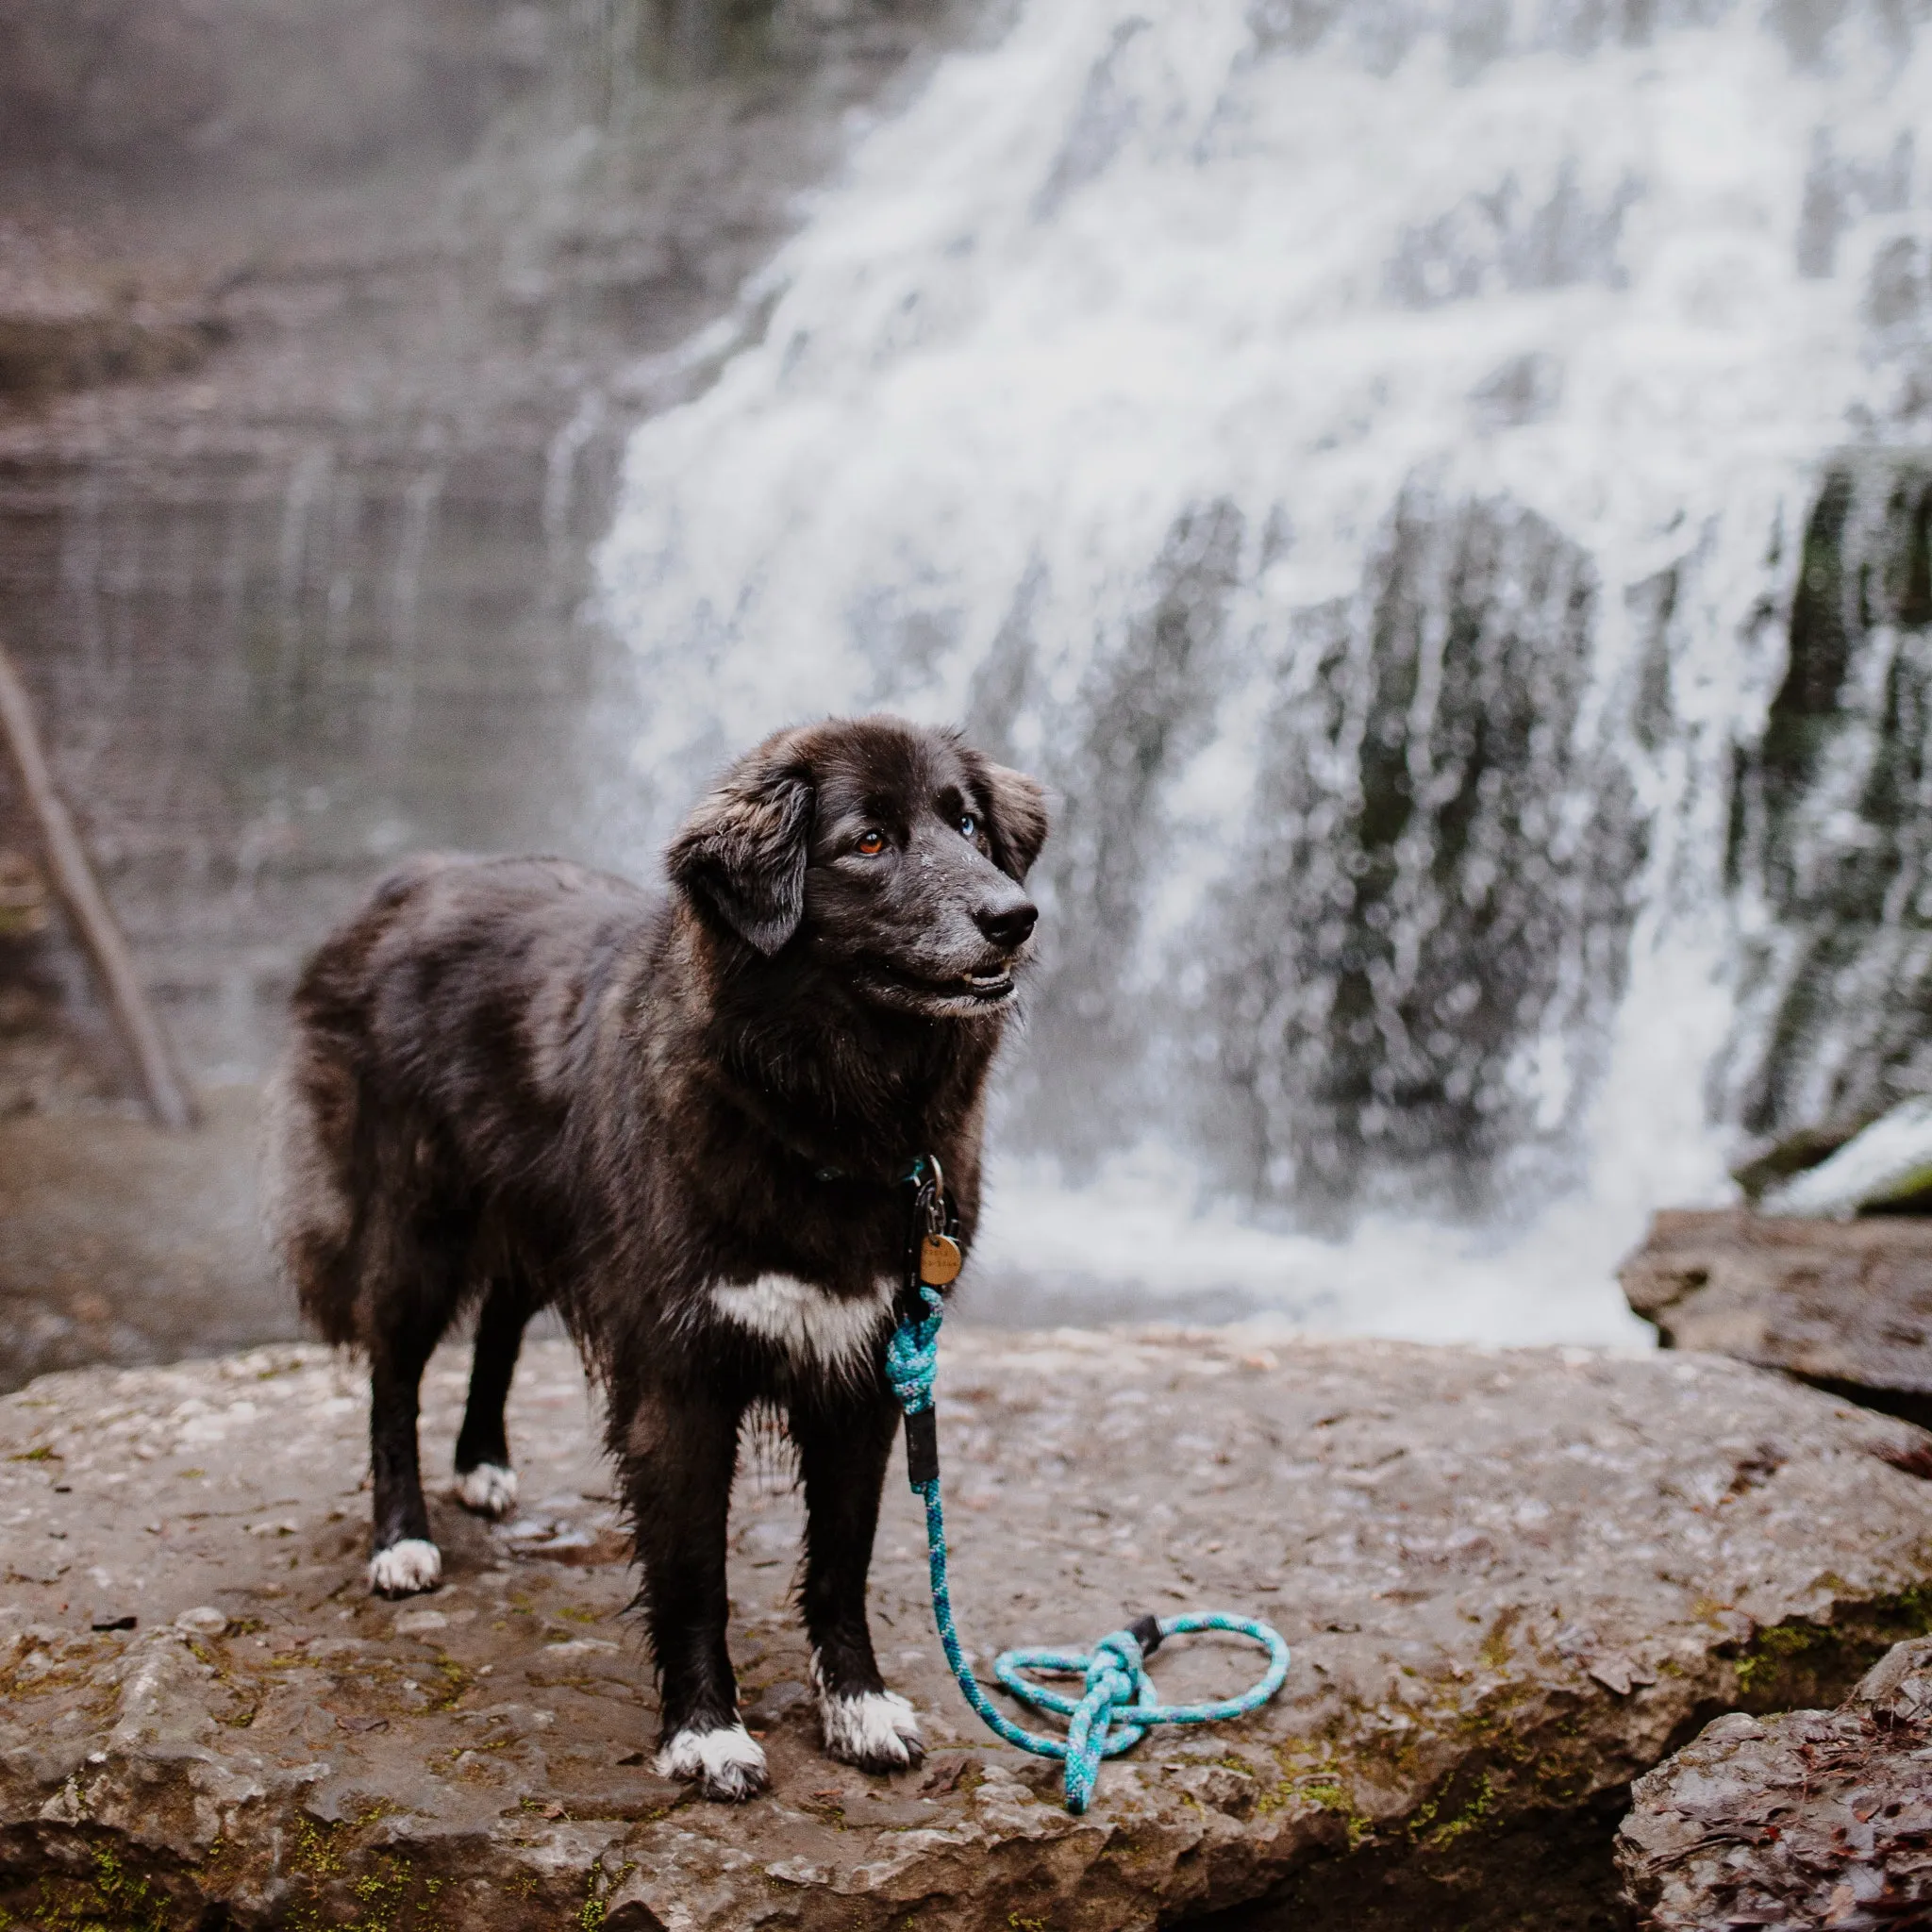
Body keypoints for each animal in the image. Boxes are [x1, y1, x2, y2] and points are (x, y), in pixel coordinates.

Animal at [264, 718, 1051, 1800]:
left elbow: (840, 1561)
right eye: (867, 842)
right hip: (419, 1230)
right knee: (393, 1380)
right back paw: (404, 1538)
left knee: (500, 1324)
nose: (1015, 916)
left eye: (967, 824)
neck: (830, 1120)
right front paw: (706, 1732)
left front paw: (855, 1704)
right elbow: (692, 1576)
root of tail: (412, 878)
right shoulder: (680, 1380)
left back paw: (483, 1463)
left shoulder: (865, 1368)